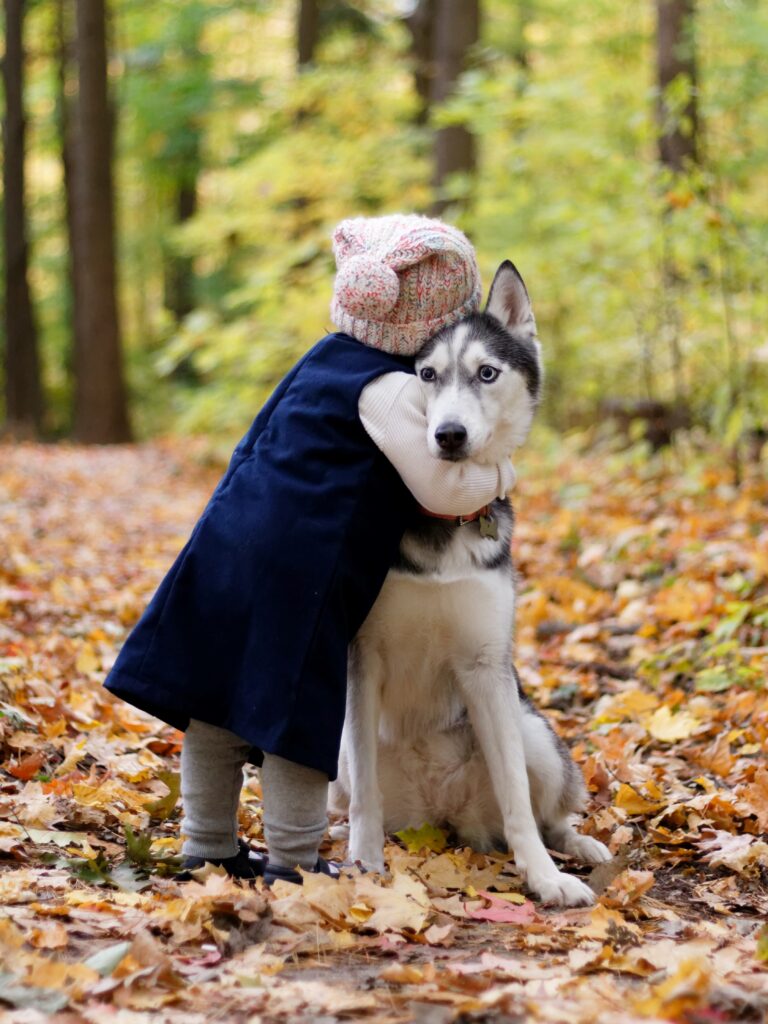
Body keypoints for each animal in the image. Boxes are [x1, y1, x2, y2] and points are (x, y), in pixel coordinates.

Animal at [331, 262, 614, 905]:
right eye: (427, 375)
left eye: (487, 372)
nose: (449, 435)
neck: (443, 515)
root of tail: (443, 815)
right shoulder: (363, 659)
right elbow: (365, 796)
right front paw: (363, 864)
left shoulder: (488, 667)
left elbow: (517, 799)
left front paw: (543, 877)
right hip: (338, 760)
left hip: (534, 732)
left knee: (547, 815)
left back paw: (577, 848)